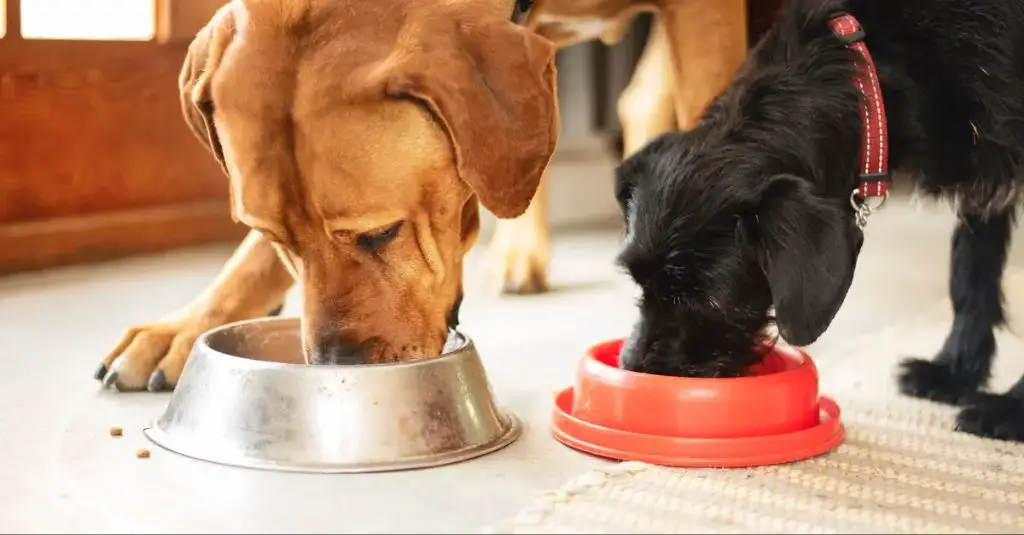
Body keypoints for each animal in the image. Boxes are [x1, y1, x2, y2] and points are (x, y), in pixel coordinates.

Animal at [610, 0, 1019, 436]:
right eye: (639, 282)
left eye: (708, 299)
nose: (633, 368)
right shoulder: (983, 170)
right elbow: (971, 271)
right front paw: (954, 372)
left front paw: (1009, 410)